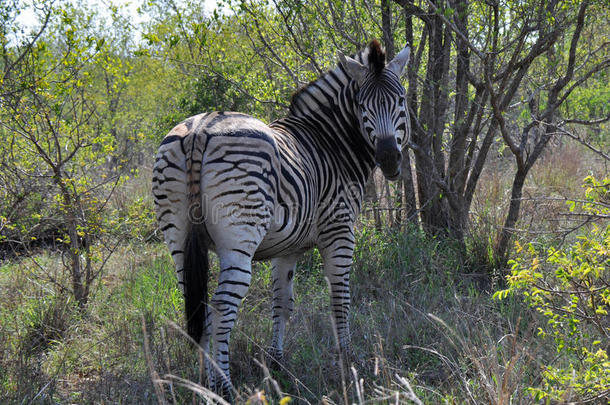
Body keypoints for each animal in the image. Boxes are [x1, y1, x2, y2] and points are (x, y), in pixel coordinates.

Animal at [151, 39, 408, 396]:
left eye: (401, 100)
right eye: (361, 105)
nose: (389, 159)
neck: (330, 142)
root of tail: (200, 129)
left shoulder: (287, 248)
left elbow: (282, 303)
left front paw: (276, 362)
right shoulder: (340, 231)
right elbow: (340, 299)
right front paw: (348, 359)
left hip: (178, 238)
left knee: (199, 308)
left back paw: (203, 385)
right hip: (239, 240)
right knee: (220, 310)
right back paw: (224, 388)